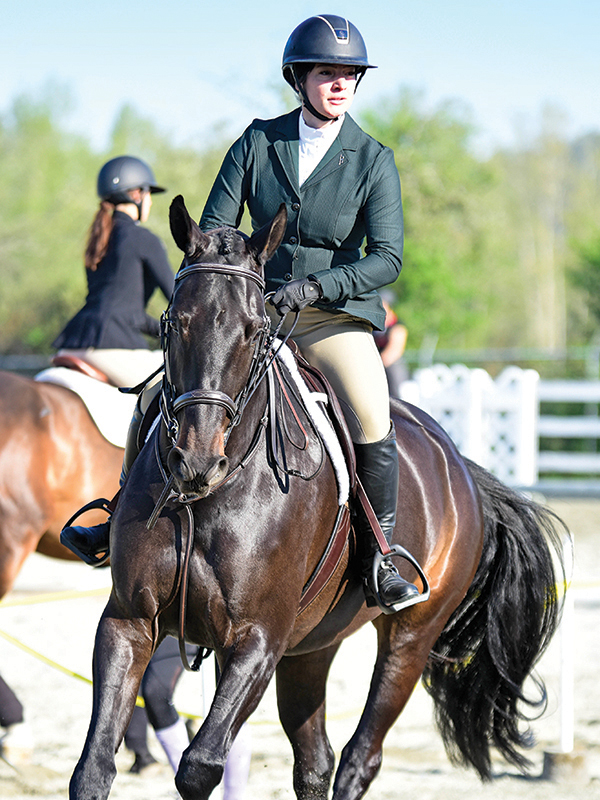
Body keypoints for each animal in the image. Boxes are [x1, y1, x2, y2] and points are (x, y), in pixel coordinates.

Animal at [69, 195, 566, 800]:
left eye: (254, 330)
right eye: (174, 323)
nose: (195, 463)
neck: (211, 496)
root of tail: (460, 466)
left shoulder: (258, 640)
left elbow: (200, 766)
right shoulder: (130, 622)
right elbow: (93, 770)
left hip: (409, 638)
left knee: (359, 757)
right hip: (311, 646)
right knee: (315, 760)